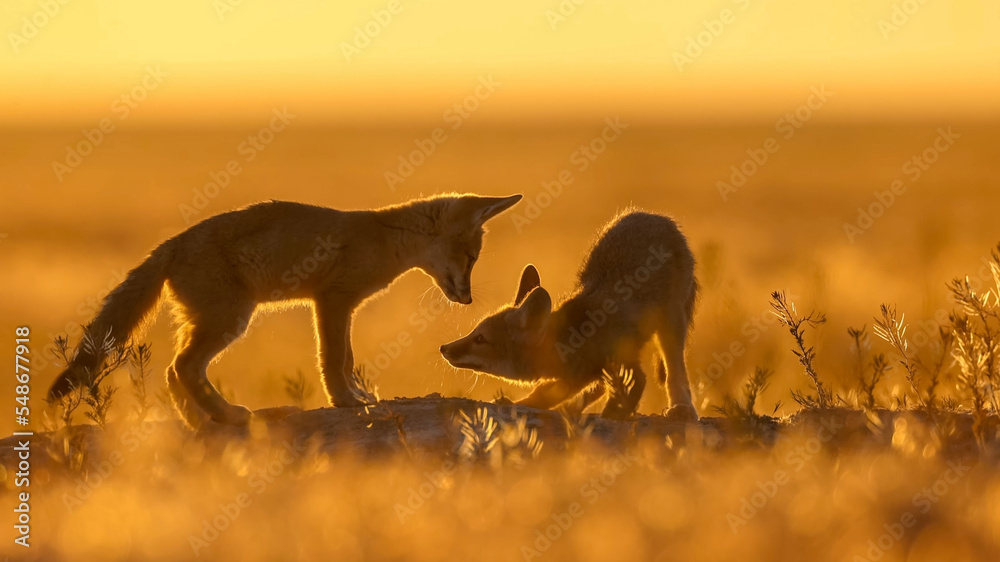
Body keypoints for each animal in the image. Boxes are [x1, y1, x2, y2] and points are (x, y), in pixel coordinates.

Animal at [47, 193, 523, 426]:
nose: (467, 299)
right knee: (182, 367)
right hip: (230, 320)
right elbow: (334, 358)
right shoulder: (333, 300)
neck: (384, 235)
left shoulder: (340, 306)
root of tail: (171, 243)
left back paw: (199, 420)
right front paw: (344, 401)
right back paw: (224, 415)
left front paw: (356, 396)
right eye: (471, 257)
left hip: (209, 322)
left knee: (171, 371)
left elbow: (346, 358)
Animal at [439, 210, 699, 420]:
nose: (444, 348)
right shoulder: (579, 374)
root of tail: (658, 217)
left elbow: (629, 391)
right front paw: (517, 403)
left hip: (671, 327)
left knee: (675, 370)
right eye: (475, 332)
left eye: (480, 339)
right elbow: (547, 394)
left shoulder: (624, 365)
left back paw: (682, 408)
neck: (574, 338)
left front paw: (614, 416)